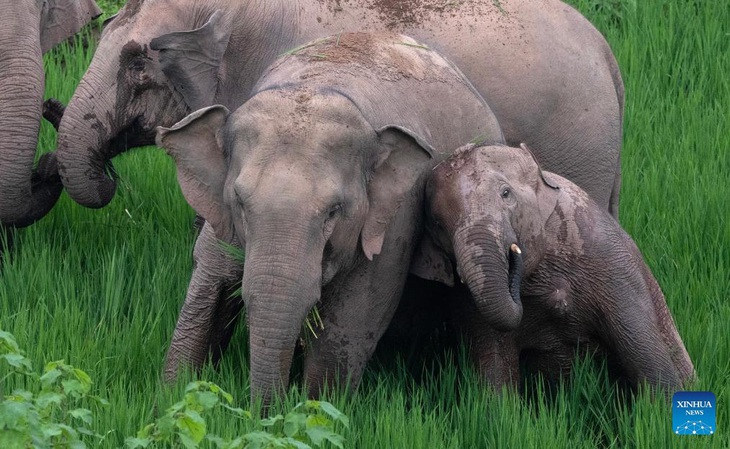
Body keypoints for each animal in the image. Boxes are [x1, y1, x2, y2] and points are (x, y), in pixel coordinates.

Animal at [156, 31, 504, 402]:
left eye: (333, 212)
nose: (265, 410)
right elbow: (211, 274)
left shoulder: (394, 221)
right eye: (239, 202)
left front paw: (316, 409)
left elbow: (355, 316)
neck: (319, 84)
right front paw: (173, 395)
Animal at [410, 144, 692, 392]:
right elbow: (495, 369)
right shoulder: (467, 301)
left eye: (505, 193)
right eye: (437, 223)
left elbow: (646, 356)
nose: (513, 258)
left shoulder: (610, 262)